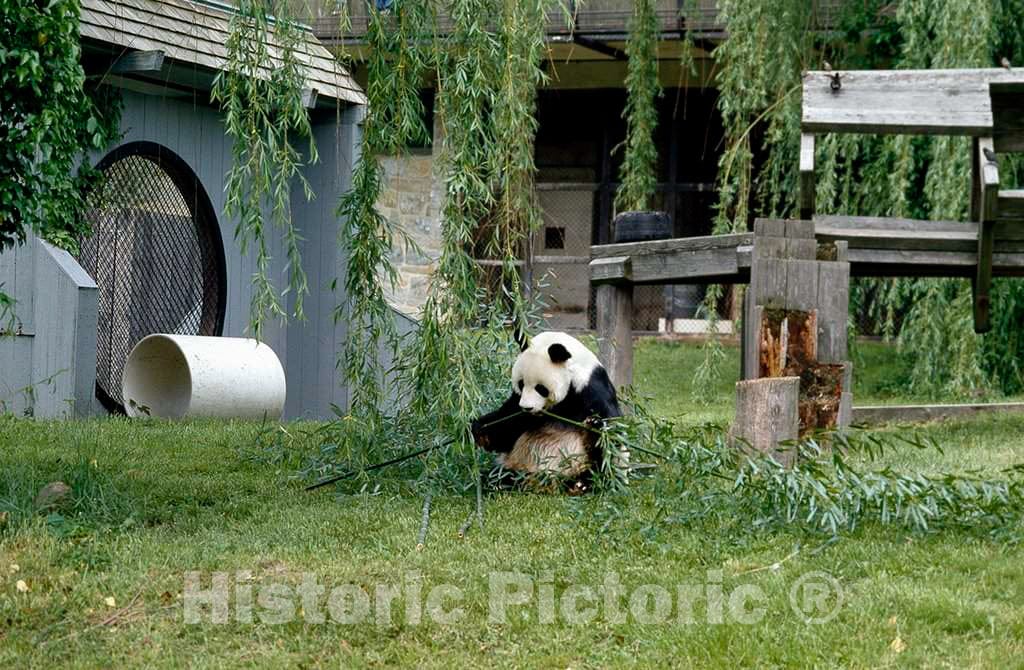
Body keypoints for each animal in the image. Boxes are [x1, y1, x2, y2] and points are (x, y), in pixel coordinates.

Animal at [471, 331, 624, 491]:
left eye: (540, 388)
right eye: (521, 384)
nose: (527, 407)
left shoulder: (593, 391)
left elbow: (612, 441)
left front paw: (595, 424)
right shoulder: (519, 403)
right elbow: (507, 426)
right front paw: (481, 429)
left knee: (592, 474)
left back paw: (579, 485)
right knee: (495, 475)